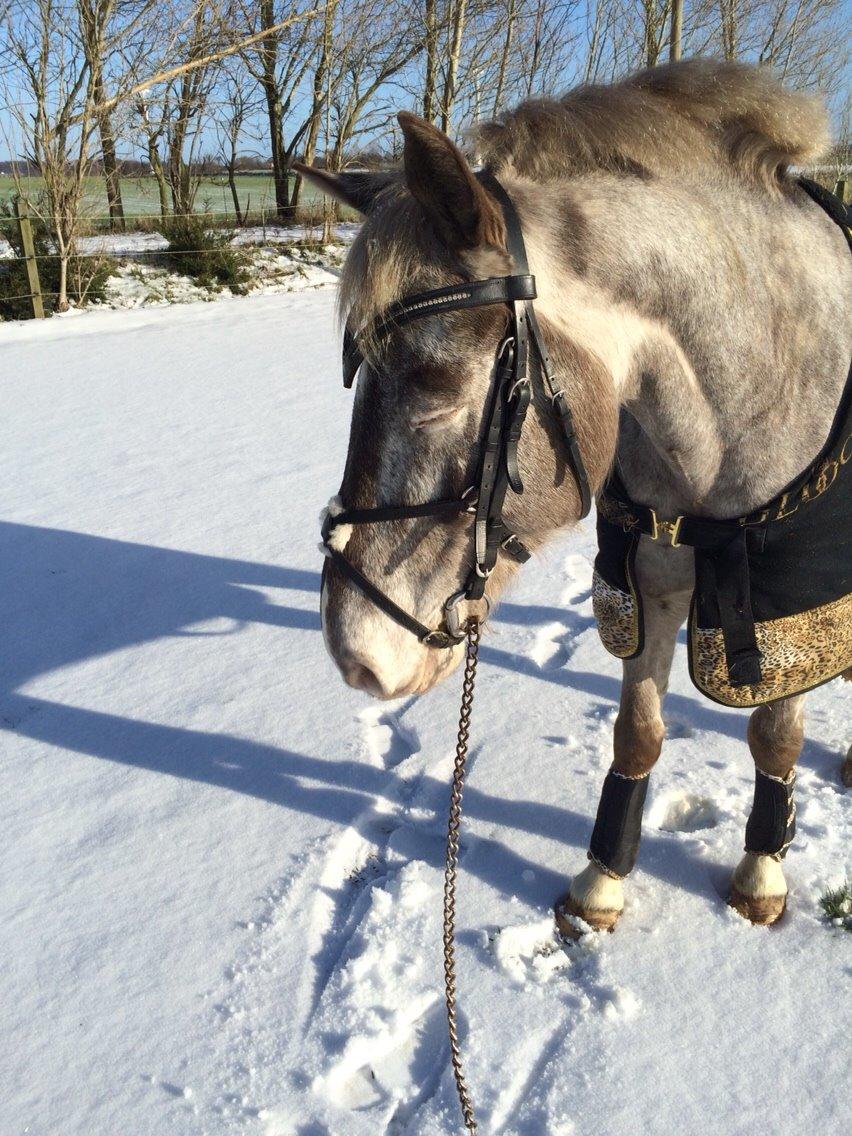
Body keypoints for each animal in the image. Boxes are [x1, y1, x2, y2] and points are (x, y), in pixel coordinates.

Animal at [297, 57, 849, 936]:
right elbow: (637, 734)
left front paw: (761, 871)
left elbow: (774, 734)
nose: (353, 653)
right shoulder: (650, 580)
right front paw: (603, 879)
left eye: (435, 380)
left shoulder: (794, 601)